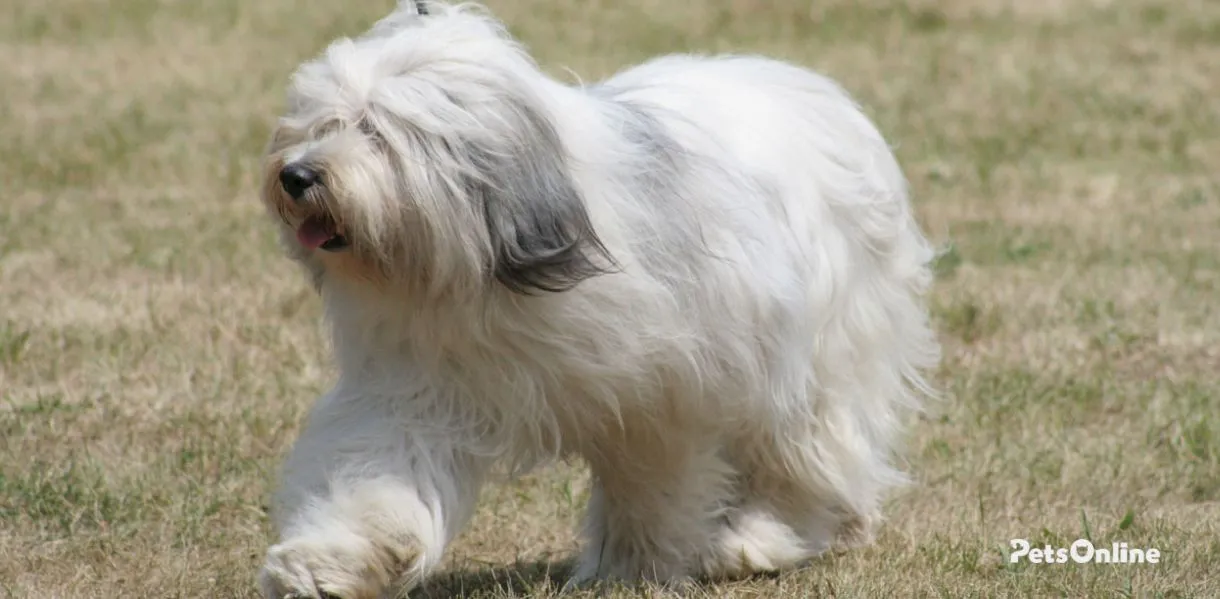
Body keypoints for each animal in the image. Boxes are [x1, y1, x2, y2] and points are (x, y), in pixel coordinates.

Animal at [254, 2, 941, 597]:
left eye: (376, 129)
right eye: (318, 124)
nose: (296, 175)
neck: (494, 268)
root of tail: (815, 91)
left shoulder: (658, 396)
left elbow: (651, 483)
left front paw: (636, 566)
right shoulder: (417, 388)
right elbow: (376, 473)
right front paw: (323, 565)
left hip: (814, 349)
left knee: (804, 451)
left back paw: (759, 538)